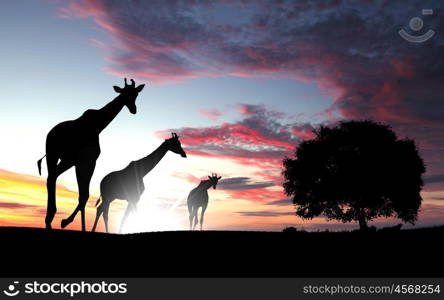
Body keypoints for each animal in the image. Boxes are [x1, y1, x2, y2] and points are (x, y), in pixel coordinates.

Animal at [36, 78, 144, 231]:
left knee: (53, 177)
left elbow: (84, 195)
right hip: (53, 154)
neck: (98, 126)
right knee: (51, 177)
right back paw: (49, 218)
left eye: (136, 94)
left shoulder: (86, 162)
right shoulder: (85, 162)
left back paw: (49, 219)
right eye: (124, 93)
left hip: (66, 161)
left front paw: (73, 224)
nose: (133, 109)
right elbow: (84, 195)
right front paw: (68, 222)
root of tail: (50, 133)